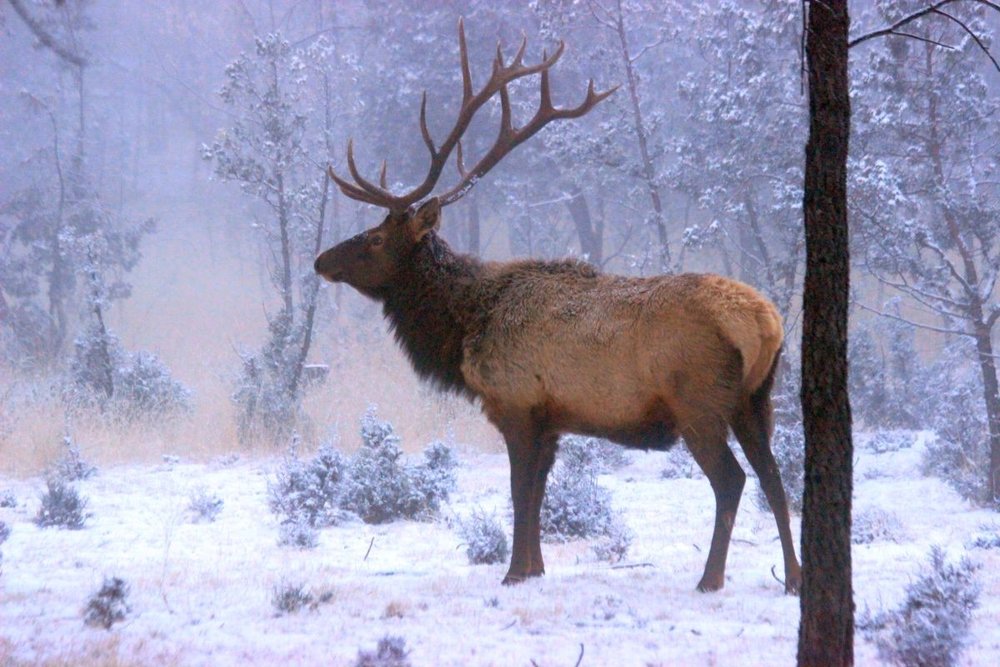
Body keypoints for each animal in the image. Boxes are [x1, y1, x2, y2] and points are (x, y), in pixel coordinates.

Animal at [316, 20, 800, 596]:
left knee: (733, 479)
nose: (321, 260)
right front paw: (536, 568)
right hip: (757, 398)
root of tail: (766, 323)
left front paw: (512, 573)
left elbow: (519, 490)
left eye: (372, 240)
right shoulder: (551, 417)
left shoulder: (515, 402)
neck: (464, 326)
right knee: (776, 477)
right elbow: (539, 493)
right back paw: (794, 578)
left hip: (699, 399)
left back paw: (710, 578)